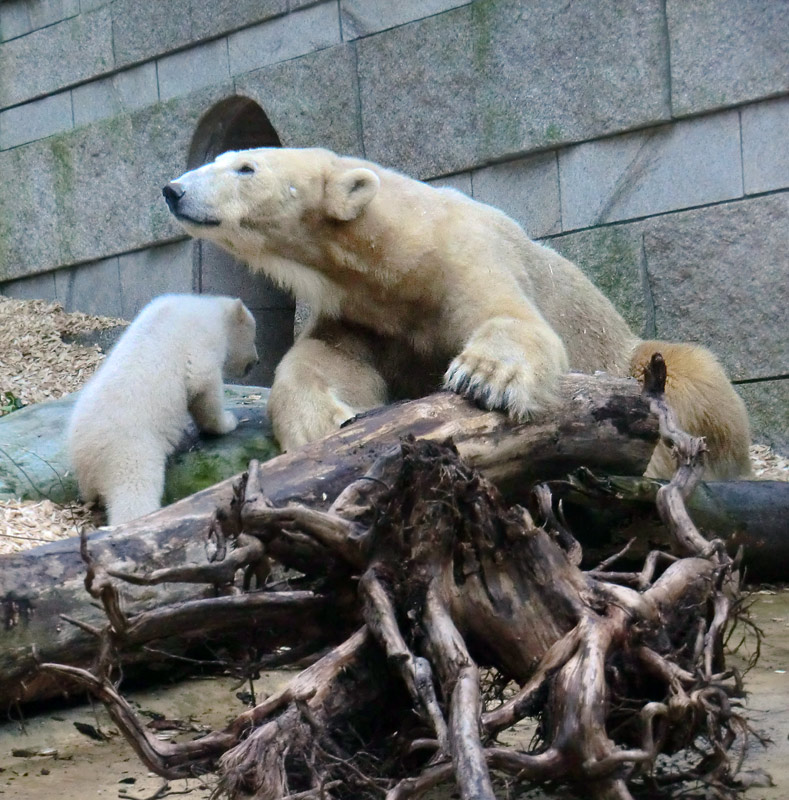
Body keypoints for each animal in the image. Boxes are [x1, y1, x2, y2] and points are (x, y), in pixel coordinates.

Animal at [163, 147, 748, 478]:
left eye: (245, 168)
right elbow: (328, 361)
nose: (174, 189)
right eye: (219, 159)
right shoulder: (364, 312)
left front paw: (484, 377)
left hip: (634, 358)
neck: (398, 255)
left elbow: (518, 320)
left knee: (694, 376)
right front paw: (322, 423)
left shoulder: (466, 257)